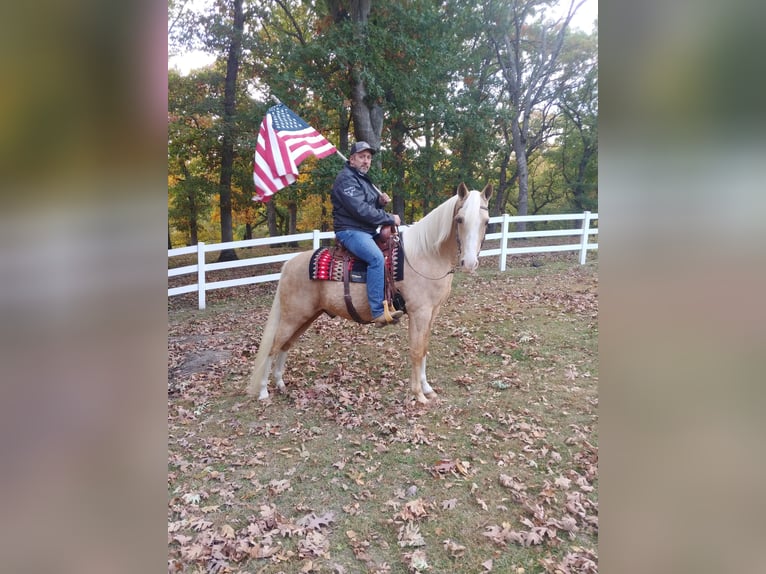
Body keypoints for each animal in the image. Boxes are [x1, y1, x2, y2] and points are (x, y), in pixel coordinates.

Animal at [249, 183, 496, 404]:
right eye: (459, 220)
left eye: (486, 221)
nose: (469, 262)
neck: (426, 254)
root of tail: (289, 264)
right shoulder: (419, 313)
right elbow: (416, 351)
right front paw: (418, 394)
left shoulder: (432, 313)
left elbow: (424, 348)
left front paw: (427, 388)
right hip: (293, 317)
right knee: (273, 347)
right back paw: (263, 392)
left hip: (306, 317)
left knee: (286, 345)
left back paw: (280, 383)